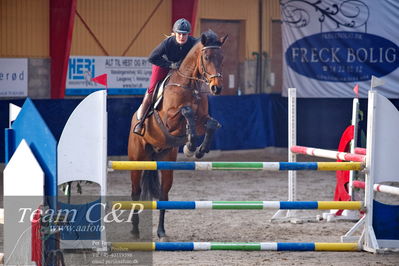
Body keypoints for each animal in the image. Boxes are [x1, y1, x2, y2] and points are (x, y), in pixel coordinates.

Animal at [128, 29, 228, 239]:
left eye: (222, 57)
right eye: (206, 57)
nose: (216, 88)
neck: (189, 85)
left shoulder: (203, 119)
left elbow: (211, 124)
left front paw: (197, 149)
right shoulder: (169, 121)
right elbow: (186, 112)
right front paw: (190, 145)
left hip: (166, 161)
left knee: (164, 196)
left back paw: (161, 231)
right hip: (137, 159)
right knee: (135, 192)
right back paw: (134, 229)